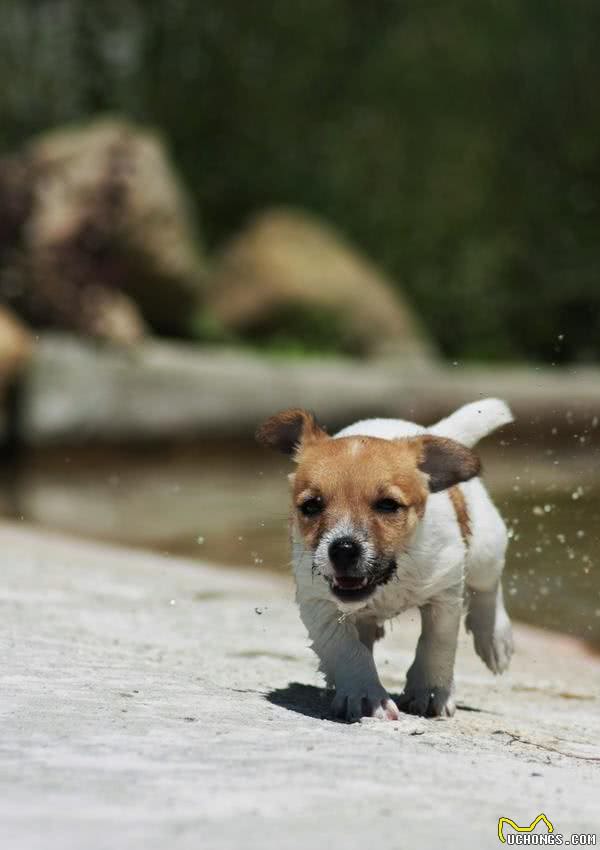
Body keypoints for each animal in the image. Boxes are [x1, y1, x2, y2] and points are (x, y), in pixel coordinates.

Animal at [255, 398, 512, 724]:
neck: (391, 579)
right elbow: (346, 649)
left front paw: (430, 690)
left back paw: (494, 637)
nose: (343, 549)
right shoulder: (319, 604)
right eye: (311, 506)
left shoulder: (444, 594)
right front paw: (364, 694)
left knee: (488, 587)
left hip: (485, 548)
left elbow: (437, 643)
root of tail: (431, 430)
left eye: (388, 505)